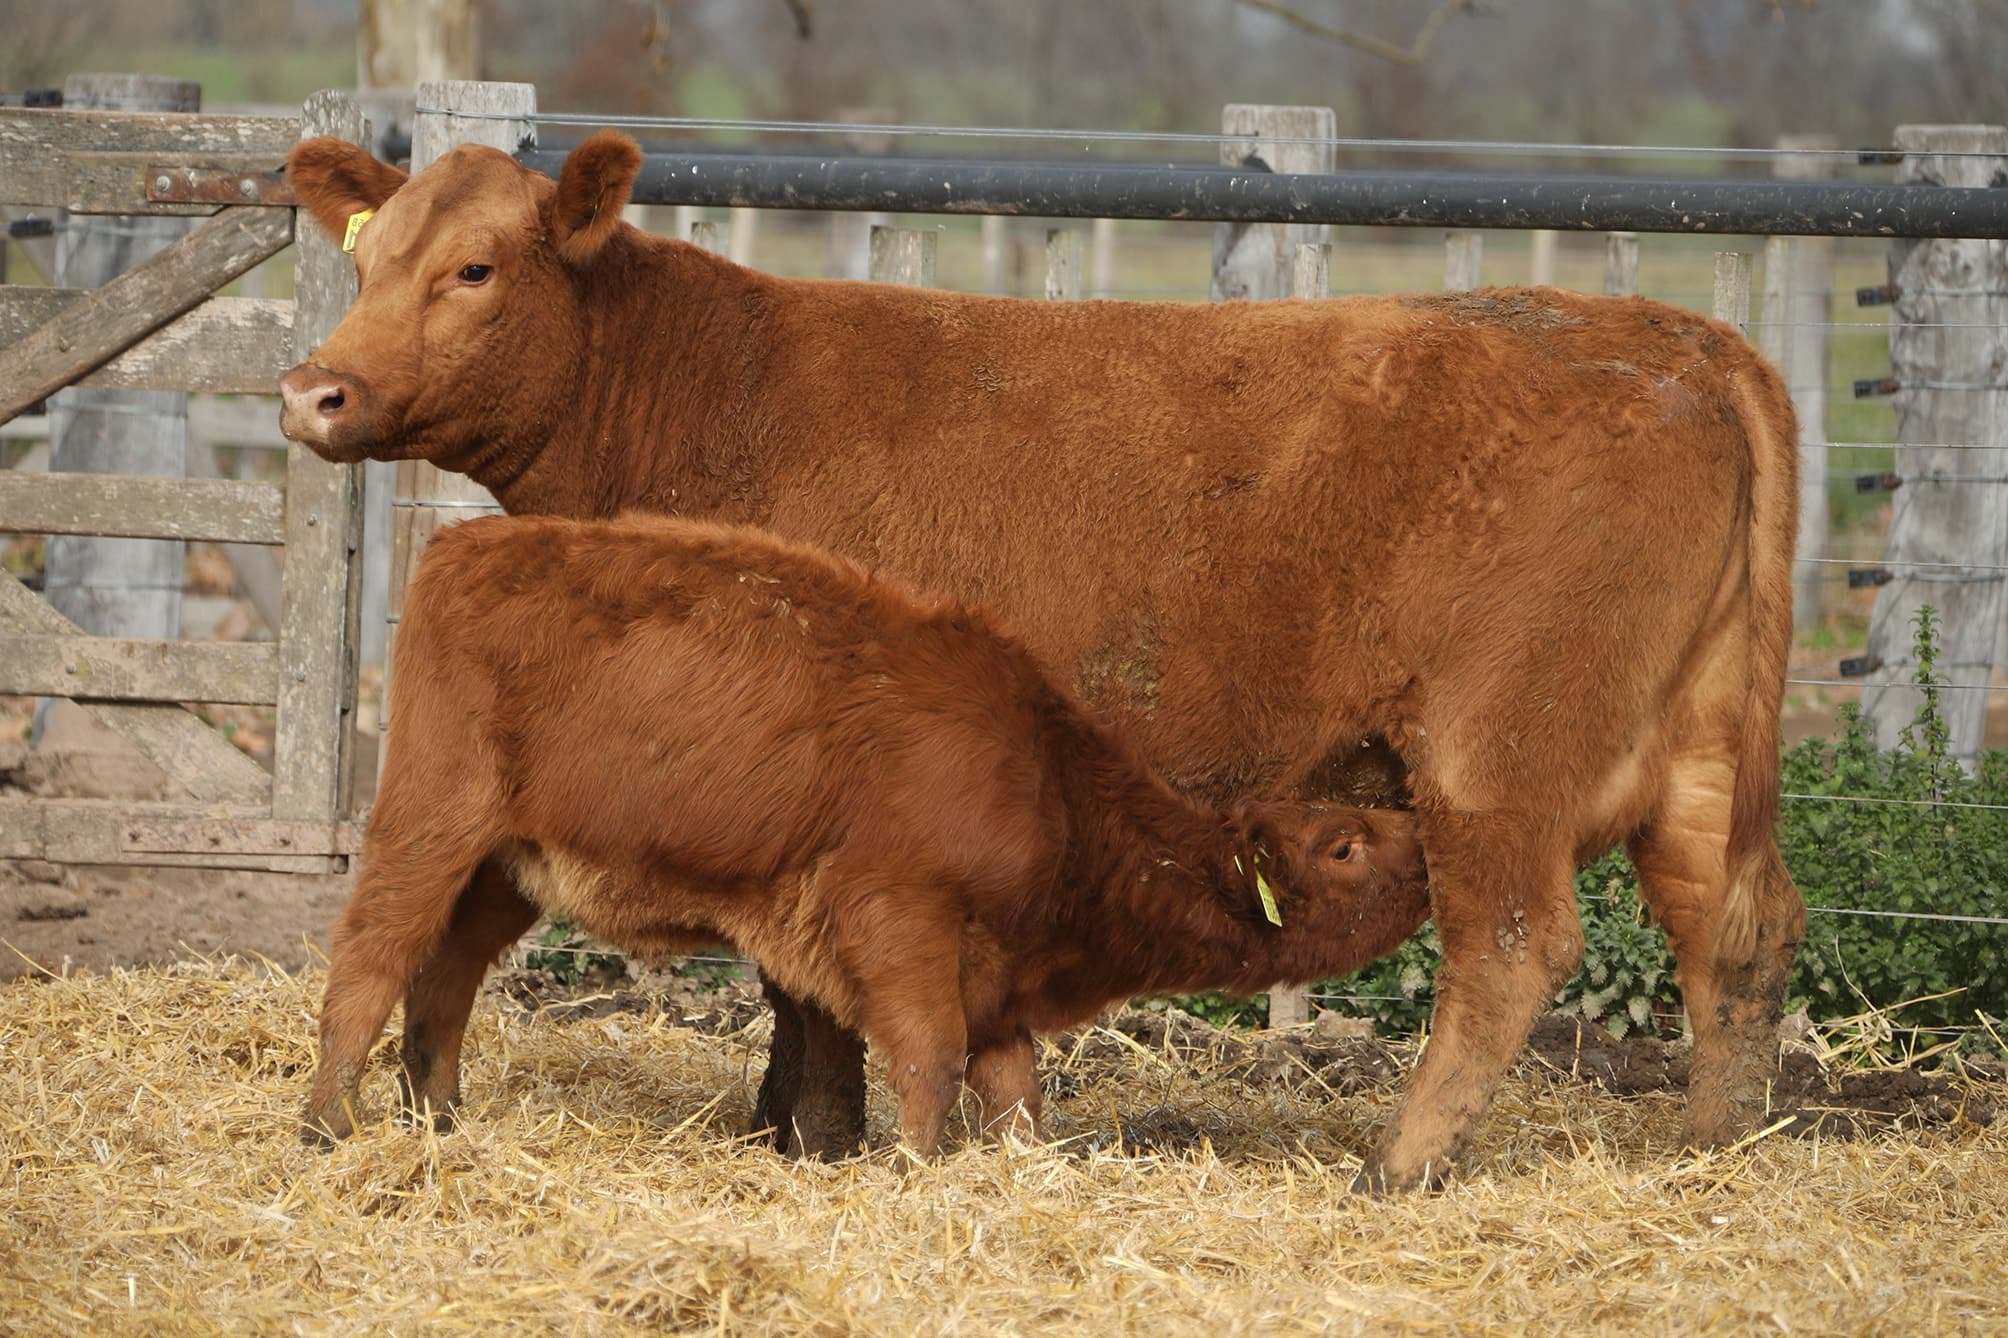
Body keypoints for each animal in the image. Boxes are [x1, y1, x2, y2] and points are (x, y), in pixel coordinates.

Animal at [303, 514, 1432, 1154]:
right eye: (1344, 843)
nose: (1428, 846)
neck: (1047, 783)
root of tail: (464, 542)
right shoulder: (898, 921)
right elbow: (929, 1063)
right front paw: (913, 1170)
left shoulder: (997, 982)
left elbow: (1015, 1094)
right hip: (431, 823)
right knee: (369, 960)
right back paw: (328, 1127)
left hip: (505, 870)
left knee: (444, 977)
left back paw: (437, 1120)